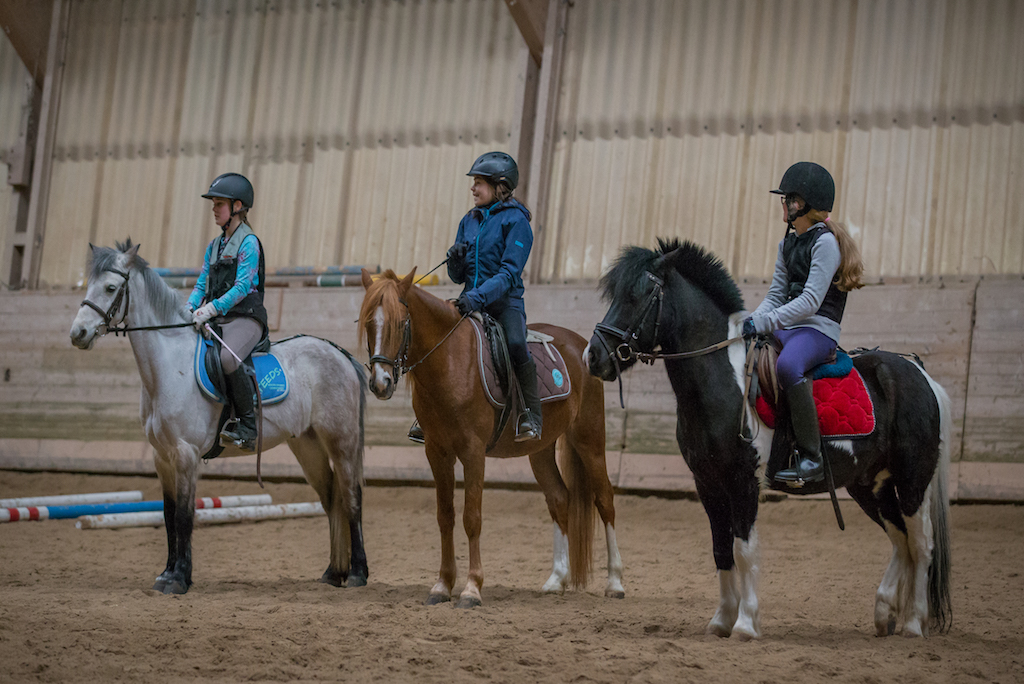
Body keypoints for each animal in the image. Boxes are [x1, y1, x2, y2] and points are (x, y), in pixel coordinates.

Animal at [68, 240, 366, 593]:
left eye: (111, 288)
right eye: (88, 285)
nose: (77, 333)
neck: (169, 365)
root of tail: (340, 353)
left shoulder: (185, 454)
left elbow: (184, 516)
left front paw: (179, 579)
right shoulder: (162, 457)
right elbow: (168, 516)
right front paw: (167, 574)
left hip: (341, 442)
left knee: (351, 496)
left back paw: (358, 572)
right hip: (307, 446)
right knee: (332, 497)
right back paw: (334, 572)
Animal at [360, 270, 622, 606]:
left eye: (399, 323)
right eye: (369, 322)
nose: (380, 383)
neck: (450, 361)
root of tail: (582, 346)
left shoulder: (473, 452)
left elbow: (472, 517)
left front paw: (472, 588)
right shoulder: (437, 452)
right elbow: (445, 516)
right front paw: (442, 585)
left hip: (589, 439)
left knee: (605, 500)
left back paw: (615, 582)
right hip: (540, 449)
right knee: (559, 498)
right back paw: (556, 579)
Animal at [589, 237, 954, 638]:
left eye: (637, 296)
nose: (594, 356)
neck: (721, 381)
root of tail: (921, 375)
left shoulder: (743, 480)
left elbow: (745, 551)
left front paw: (746, 624)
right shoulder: (707, 482)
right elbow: (721, 549)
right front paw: (721, 620)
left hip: (912, 480)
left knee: (921, 544)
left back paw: (914, 623)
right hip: (870, 485)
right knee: (901, 540)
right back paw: (886, 613)